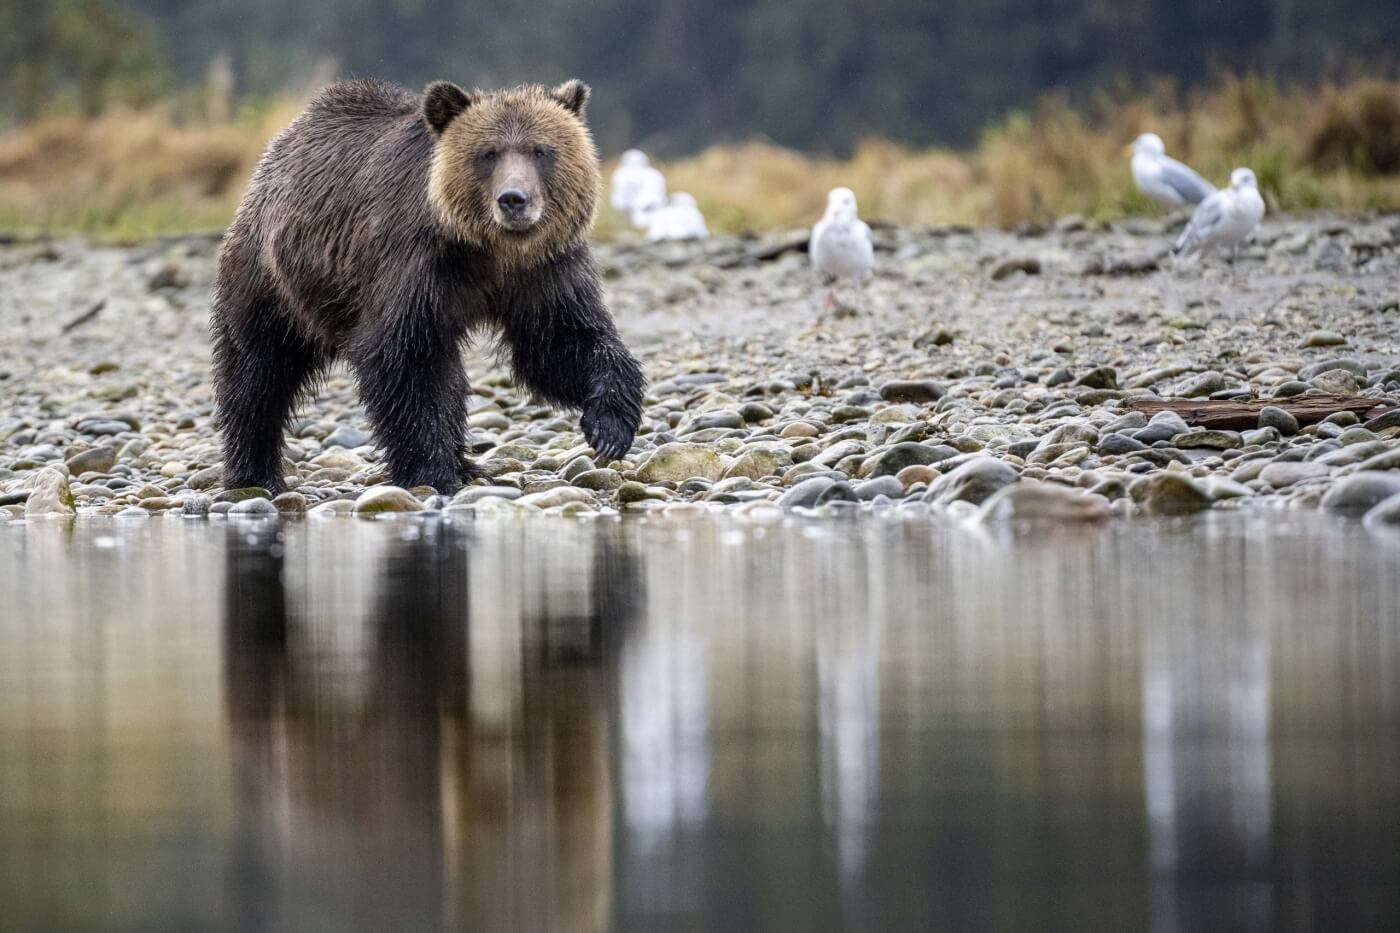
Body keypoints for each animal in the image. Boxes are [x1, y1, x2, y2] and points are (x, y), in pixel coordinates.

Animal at [210, 78, 646, 493]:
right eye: (487, 153)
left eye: (541, 150)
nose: (514, 199)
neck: (489, 251)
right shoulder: (412, 265)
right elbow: (403, 362)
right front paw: (432, 471)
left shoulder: (543, 270)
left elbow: (561, 342)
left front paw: (609, 427)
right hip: (272, 279)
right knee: (257, 372)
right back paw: (255, 472)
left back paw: (468, 464)